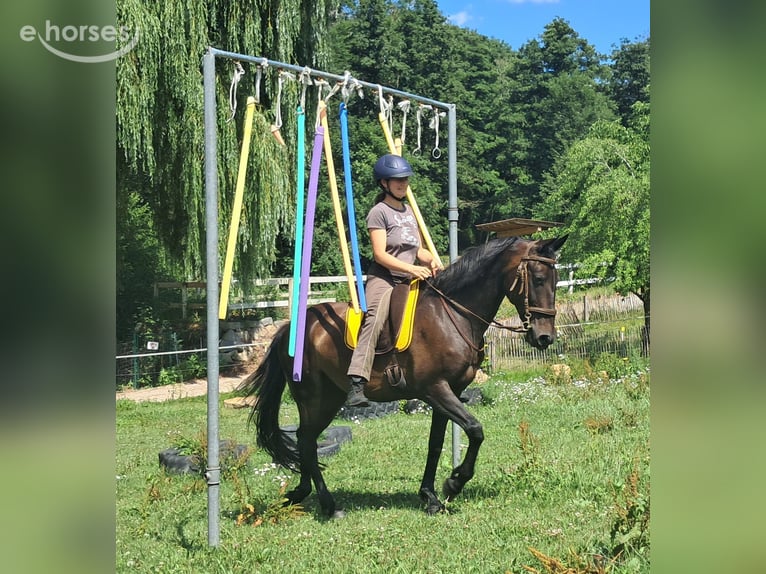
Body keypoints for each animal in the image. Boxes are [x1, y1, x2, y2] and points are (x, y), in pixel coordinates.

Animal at [239, 234, 567, 518]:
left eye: (556, 281)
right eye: (538, 279)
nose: (544, 338)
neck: (451, 315)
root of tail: (290, 329)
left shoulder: (447, 392)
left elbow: (436, 444)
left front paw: (430, 497)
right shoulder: (435, 389)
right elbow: (475, 430)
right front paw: (454, 482)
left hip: (328, 399)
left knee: (305, 440)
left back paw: (302, 493)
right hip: (313, 397)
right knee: (306, 441)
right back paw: (329, 505)